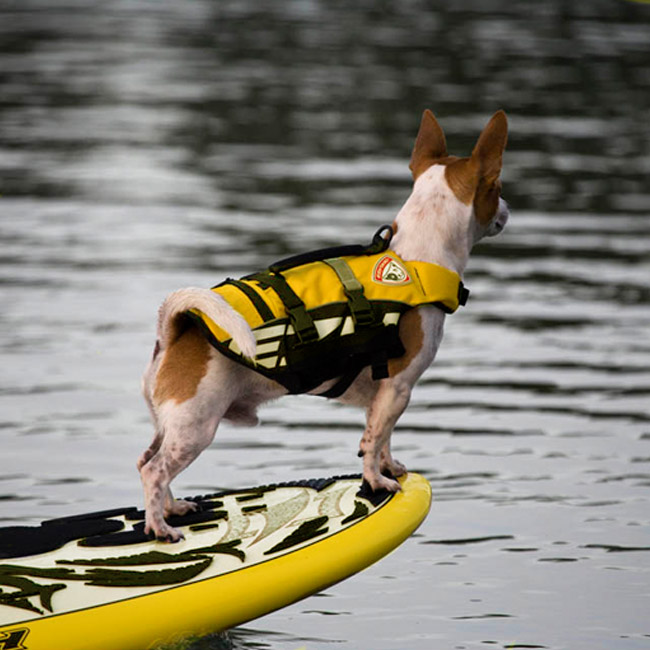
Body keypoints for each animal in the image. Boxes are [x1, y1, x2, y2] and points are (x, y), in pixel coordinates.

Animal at [139, 109, 508, 540]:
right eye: (497, 186)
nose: (507, 209)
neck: (417, 258)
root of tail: (175, 330)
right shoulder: (398, 388)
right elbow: (373, 440)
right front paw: (376, 480)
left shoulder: (385, 396)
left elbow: (382, 438)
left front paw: (389, 466)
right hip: (194, 428)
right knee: (154, 471)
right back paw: (159, 526)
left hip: (171, 427)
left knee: (149, 462)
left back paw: (171, 508)